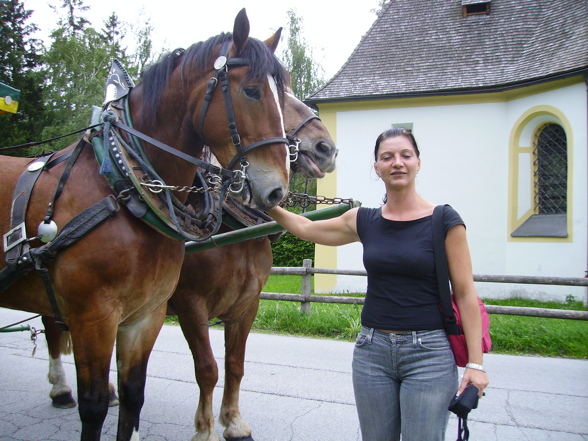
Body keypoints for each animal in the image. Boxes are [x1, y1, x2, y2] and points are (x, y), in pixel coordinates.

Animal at [0, 8, 290, 438]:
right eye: (253, 91)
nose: (276, 190)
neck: (123, 185)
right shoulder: (111, 313)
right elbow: (102, 403)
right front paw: (205, 428)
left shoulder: (149, 315)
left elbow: (139, 393)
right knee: (54, 331)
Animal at [40, 87, 336, 438]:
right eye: (281, 102)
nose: (326, 148)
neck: (234, 233)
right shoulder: (190, 305)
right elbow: (207, 368)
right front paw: (205, 428)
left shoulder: (247, 306)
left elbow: (235, 365)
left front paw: (233, 421)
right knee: (52, 330)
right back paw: (61, 389)